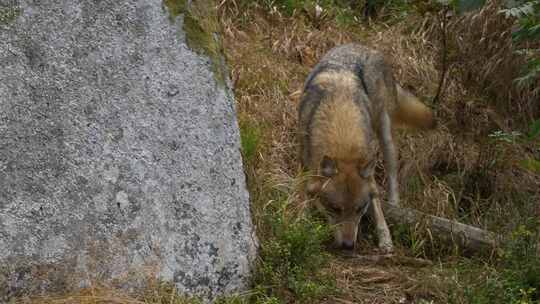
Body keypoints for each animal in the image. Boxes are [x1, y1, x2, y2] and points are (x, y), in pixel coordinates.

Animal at [298, 42, 436, 252]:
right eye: (335, 209)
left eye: (359, 209)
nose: (348, 245)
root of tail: (365, 47)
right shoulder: (307, 162)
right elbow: (305, 191)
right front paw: (302, 221)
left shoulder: (368, 168)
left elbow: (376, 202)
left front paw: (385, 238)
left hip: (385, 135)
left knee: (392, 174)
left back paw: (395, 206)